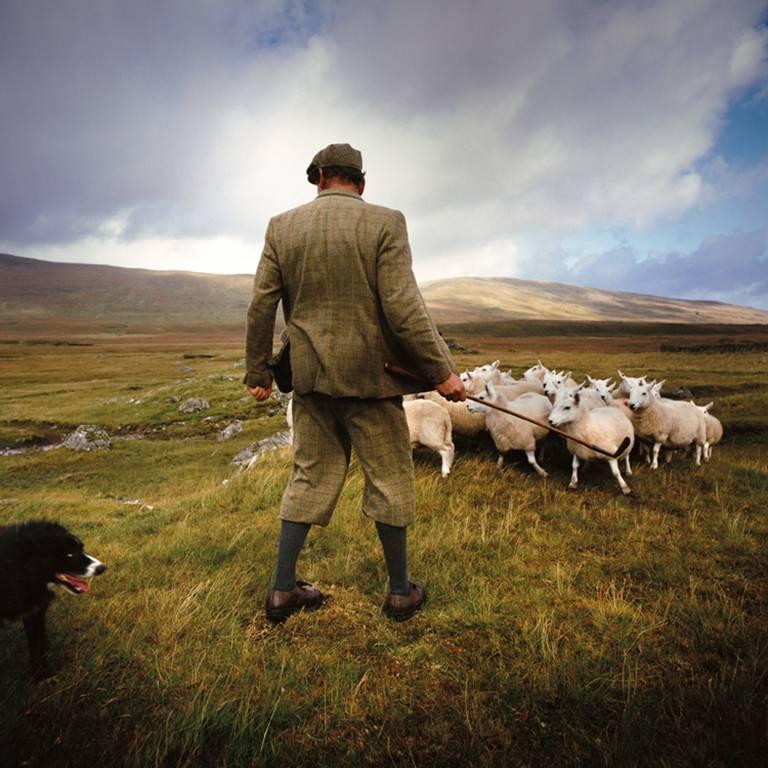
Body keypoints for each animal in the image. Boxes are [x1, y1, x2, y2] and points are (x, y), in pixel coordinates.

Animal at [0, 520, 105, 672]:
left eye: (81, 548)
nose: (102, 568)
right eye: (69, 554)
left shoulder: (35, 612)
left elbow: (38, 648)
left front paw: (42, 674)